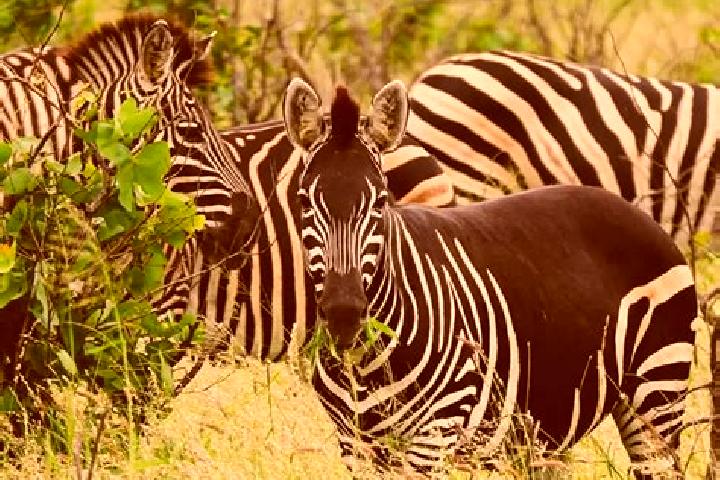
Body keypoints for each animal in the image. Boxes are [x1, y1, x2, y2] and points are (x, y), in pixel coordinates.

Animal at [284, 78, 698, 477]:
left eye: (381, 202)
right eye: (304, 202)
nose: (344, 315)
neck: (364, 361)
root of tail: (634, 211)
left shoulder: (435, 432)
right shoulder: (355, 443)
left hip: (656, 393)